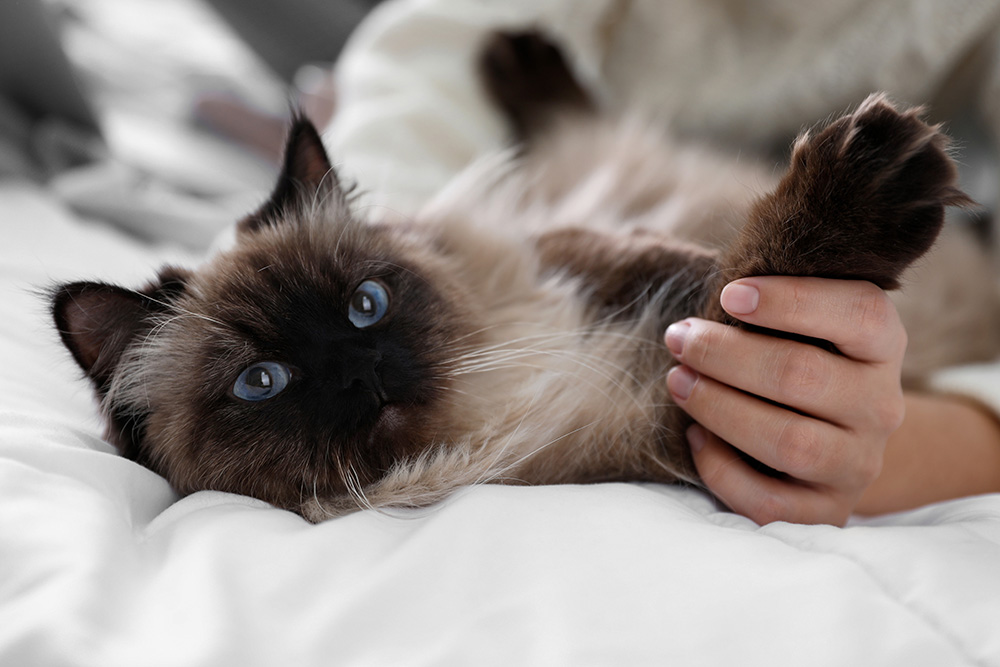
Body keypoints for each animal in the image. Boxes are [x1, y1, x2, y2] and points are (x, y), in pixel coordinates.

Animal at [50, 30, 996, 520]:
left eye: (365, 305)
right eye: (263, 381)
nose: (359, 371)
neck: (492, 402)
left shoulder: (547, 248)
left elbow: (677, 268)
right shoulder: (657, 426)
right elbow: (748, 284)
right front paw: (863, 188)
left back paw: (517, 54)